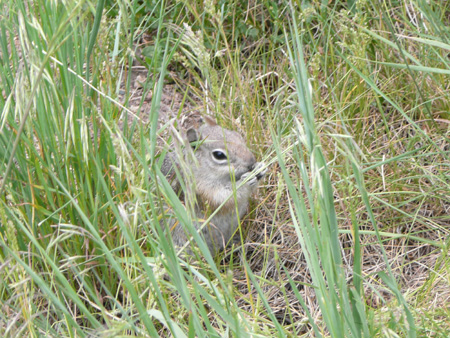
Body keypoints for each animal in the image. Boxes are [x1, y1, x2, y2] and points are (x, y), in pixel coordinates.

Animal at [162, 115, 268, 254]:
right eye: (219, 155)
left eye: (238, 135)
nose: (251, 162)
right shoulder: (202, 190)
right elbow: (224, 198)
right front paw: (244, 182)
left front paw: (261, 167)